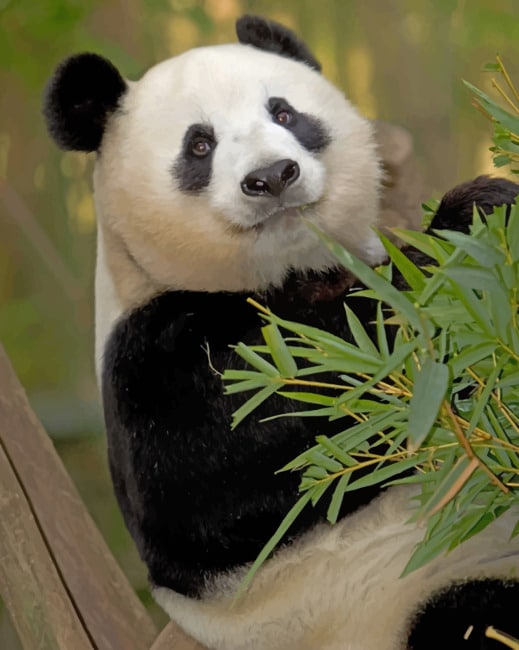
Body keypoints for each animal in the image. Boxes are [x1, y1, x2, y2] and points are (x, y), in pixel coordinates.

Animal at [43, 14, 519, 650]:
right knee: (475, 621)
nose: (272, 176)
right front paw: (471, 223)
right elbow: (251, 438)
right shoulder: (147, 355)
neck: (289, 272)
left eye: (285, 113)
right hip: (403, 604)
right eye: (200, 145)